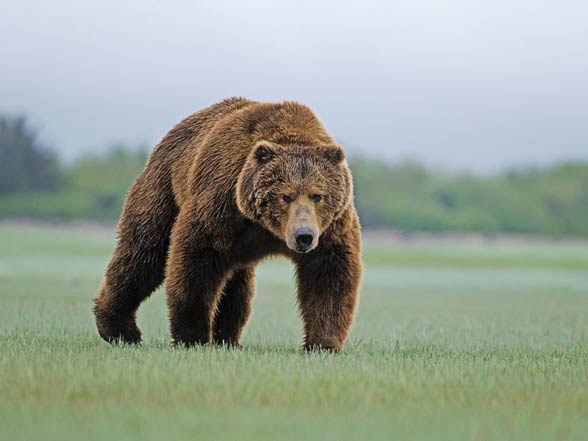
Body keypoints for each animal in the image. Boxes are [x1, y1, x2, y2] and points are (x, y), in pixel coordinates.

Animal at [93, 97, 362, 350]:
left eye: (317, 195)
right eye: (286, 196)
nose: (303, 236)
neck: (267, 229)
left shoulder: (331, 228)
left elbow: (328, 275)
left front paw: (322, 343)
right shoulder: (222, 202)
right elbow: (195, 262)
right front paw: (193, 337)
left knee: (236, 286)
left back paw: (228, 338)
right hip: (163, 189)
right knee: (143, 253)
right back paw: (119, 329)